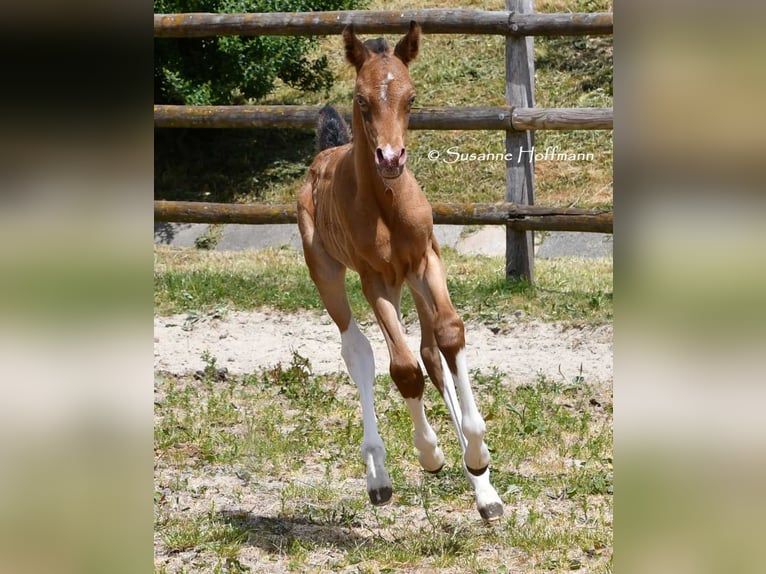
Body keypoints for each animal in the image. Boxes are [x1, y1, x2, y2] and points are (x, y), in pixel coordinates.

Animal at [297, 22, 503, 522]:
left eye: (411, 97)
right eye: (361, 99)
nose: (390, 158)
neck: (385, 205)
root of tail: (324, 153)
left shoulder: (427, 258)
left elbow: (448, 337)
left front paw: (478, 459)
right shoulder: (373, 278)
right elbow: (403, 369)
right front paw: (430, 453)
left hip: (410, 279)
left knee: (431, 352)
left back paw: (482, 490)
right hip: (330, 274)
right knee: (358, 351)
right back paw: (379, 476)